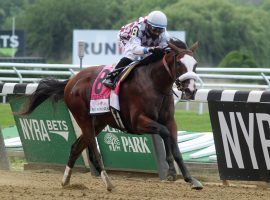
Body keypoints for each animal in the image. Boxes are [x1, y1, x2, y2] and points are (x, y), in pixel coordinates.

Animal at [21, 38, 202, 191]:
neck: (154, 83)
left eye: (195, 64)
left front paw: (191, 179)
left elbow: (175, 146)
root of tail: (71, 81)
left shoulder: (170, 121)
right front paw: (171, 171)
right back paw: (108, 183)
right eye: (179, 63)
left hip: (99, 122)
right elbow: (164, 133)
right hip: (83, 118)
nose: (191, 90)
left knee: (76, 147)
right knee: (93, 150)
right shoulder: (138, 122)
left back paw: (66, 181)